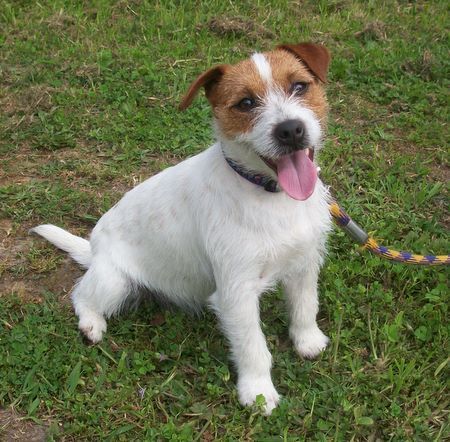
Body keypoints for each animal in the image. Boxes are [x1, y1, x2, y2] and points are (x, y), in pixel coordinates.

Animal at [32, 42, 332, 414]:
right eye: (246, 103)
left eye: (299, 86)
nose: (290, 130)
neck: (270, 195)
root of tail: (94, 248)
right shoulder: (236, 292)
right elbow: (253, 346)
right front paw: (258, 391)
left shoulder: (304, 263)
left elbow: (305, 306)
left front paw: (308, 341)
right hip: (114, 281)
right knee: (81, 294)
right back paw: (91, 324)